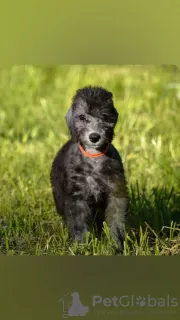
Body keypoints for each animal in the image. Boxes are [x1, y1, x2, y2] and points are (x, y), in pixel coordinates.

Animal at [50, 86, 129, 254]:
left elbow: (116, 222)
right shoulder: (76, 198)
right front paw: (82, 247)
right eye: (81, 117)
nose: (94, 137)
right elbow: (78, 225)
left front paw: (116, 246)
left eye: (104, 116)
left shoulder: (116, 193)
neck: (94, 158)